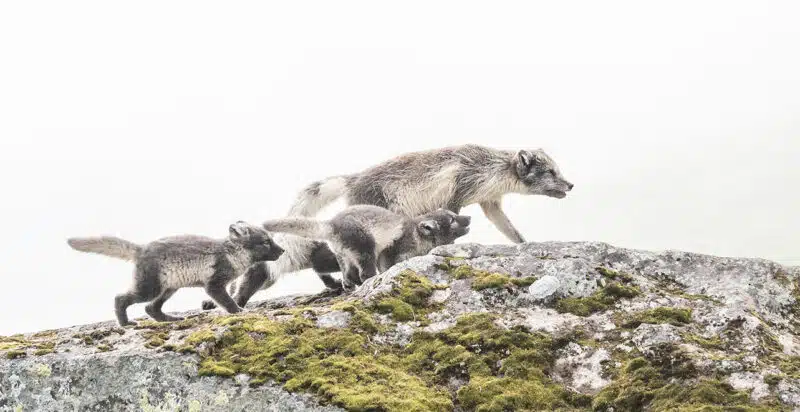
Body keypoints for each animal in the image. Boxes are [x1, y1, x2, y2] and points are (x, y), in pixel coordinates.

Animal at [67, 221, 284, 326]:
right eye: (266, 242)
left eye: (271, 239)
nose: (282, 251)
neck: (233, 253)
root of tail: (141, 248)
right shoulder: (214, 285)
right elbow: (228, 302)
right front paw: (239, 312)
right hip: (150, 288)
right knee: (120, 298)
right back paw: (126, 323)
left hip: (169, 289)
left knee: (150, 309)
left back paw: (171, 319)